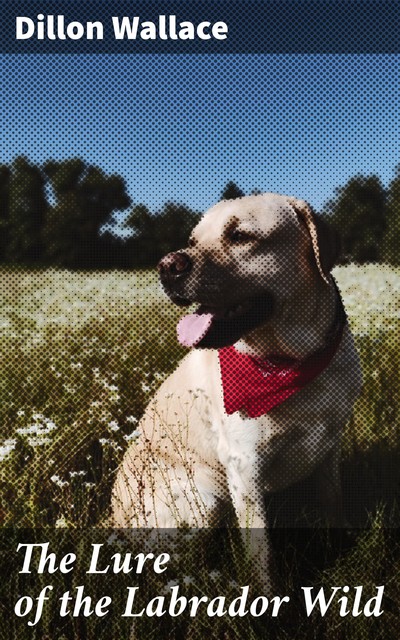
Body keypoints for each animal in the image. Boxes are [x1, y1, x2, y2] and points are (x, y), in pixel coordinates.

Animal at [111, 192, 360, 576]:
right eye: (193, 241)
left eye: (240, 236)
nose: (167, 266)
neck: (291, 361)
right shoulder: (245, 466)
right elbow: (261, 555)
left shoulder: (330, 446)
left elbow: (333, 501)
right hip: (203, 502)